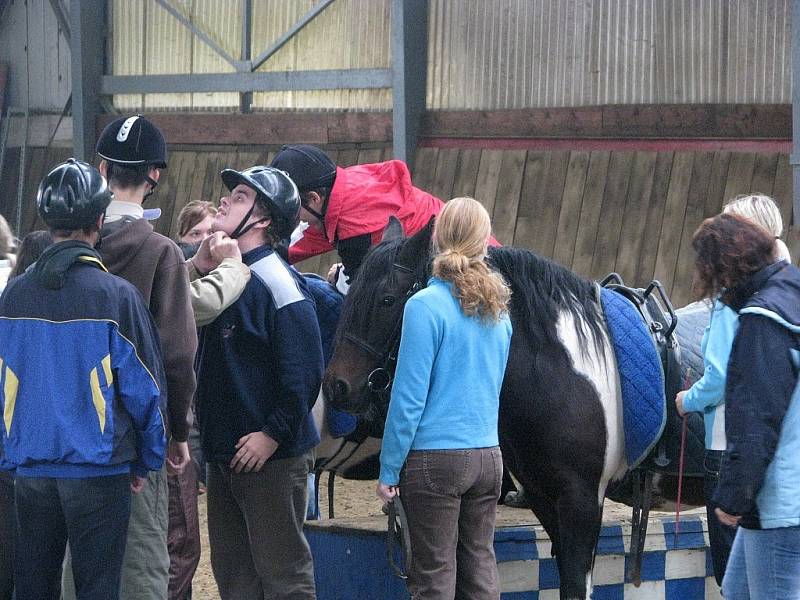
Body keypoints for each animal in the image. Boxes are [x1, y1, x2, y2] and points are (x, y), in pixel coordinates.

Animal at [322, 219, 704, 600]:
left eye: (387, 300)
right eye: (349, 293)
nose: (337, 386)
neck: (565, 372)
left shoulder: (581, 501)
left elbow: (577, 585)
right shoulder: (543, 496)